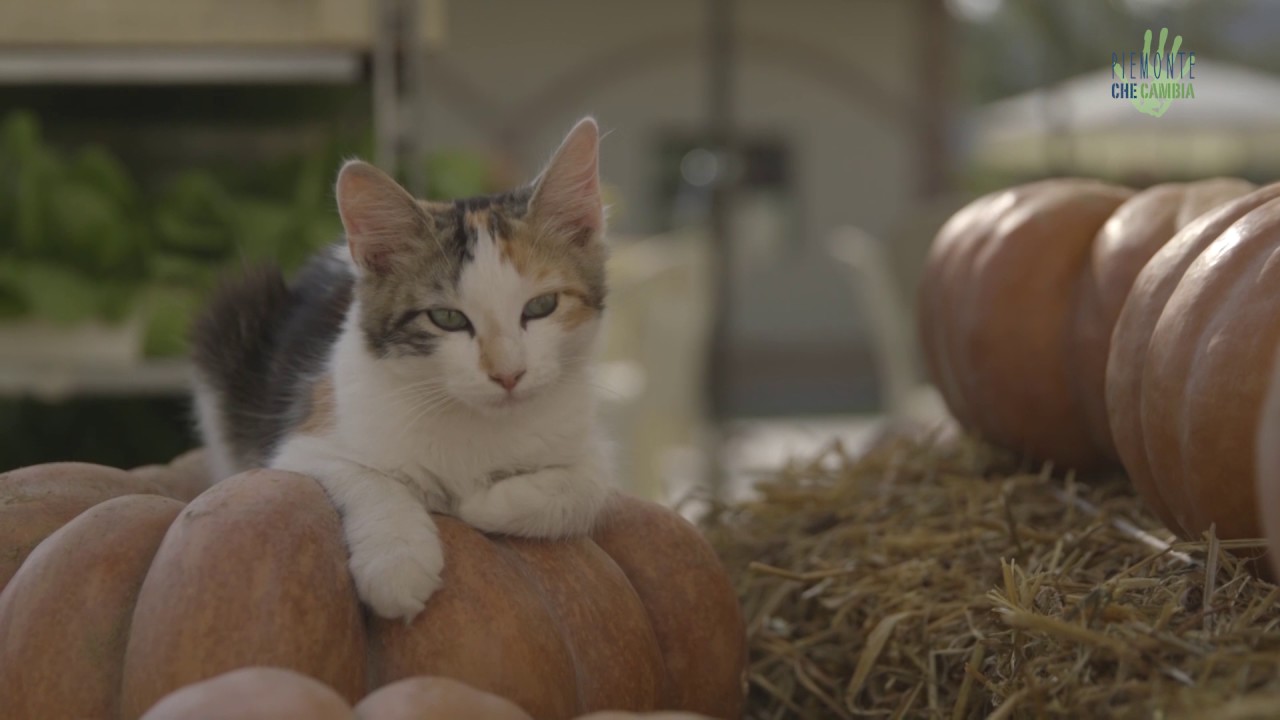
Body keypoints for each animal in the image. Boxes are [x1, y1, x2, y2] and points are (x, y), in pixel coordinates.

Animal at [186, 117, 611, 617]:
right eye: (447, 318)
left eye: (542, 306)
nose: (508, 374)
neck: (477, 421)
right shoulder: (301, 446)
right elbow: (371, 478)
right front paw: (398, 562)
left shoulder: (589, 442)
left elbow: (590, 487)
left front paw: (481, 503)